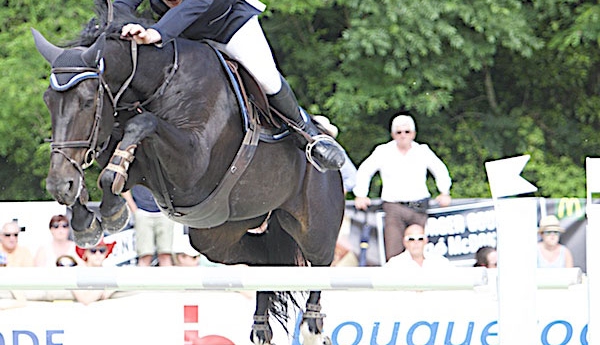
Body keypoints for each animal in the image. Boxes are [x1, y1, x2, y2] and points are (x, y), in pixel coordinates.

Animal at [31, 3, 342, 344]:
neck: (160, 82)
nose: (57, 186)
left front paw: (110, 210)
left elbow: (142, 125)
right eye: (48, 101)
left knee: (320, 265)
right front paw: (87, 216)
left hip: (314, 230)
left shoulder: (193, 166)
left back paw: (312, 327)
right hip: (218, 235)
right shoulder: (132, 159)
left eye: (87, 102)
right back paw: (261, 326)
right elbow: (111, 159)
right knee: (265, 262)